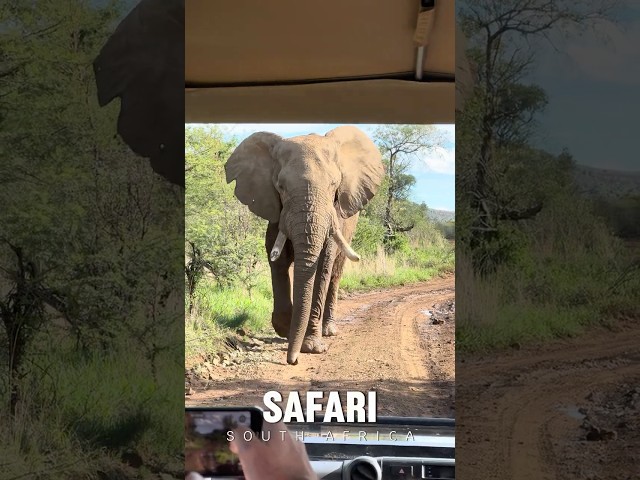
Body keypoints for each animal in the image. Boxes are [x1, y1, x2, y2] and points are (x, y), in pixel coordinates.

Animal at [225, 125, 384, 366]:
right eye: (281, 187)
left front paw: (311, 347)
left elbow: (322, 267)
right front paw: (286, 329)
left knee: (335, 274)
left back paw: (329, 330)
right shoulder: (276, 210)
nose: (293, 361)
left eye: (334, 186)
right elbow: (277, 259)